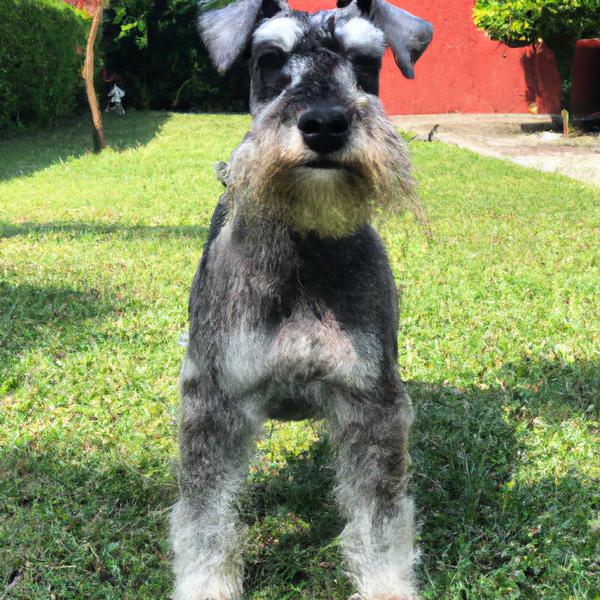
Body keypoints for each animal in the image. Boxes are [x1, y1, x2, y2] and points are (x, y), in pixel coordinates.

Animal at [169, 0, 432, 596]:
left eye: (366, 62)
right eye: (269, 58)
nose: (325, 124)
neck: (304, 245)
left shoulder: (372, 407)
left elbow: (380, 520)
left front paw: (385, 584)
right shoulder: (213, 405)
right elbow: (205, 518)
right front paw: (206, 583)